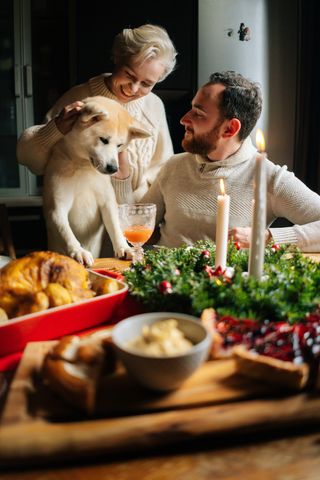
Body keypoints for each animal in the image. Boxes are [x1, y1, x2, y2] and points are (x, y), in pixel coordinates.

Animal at [42, 94, 150, 266]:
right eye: (104, 140)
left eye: (119, 145)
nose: (113, 168)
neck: (83, 166)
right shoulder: (57, 208)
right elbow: (66, 232)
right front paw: (78, 251)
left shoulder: (107, 202)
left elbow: (115, 226)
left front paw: (124, 247)